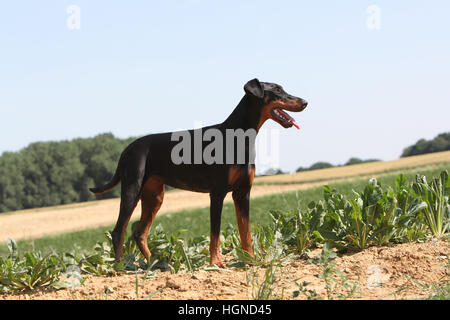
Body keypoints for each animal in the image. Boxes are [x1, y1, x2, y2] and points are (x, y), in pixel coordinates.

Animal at [91, 78, 310, 268]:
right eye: (277, 90)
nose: (305, 102)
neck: (240, 137)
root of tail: (126, 149)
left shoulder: (242, 193)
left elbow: (245, 231)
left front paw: (250, 260)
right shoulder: (217, 193)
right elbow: (215, 233)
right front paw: (216, 263)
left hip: (154, 196)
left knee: (139, 233)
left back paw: (156, 262)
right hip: (132, 190)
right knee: (118, 231)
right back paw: (121, 267)